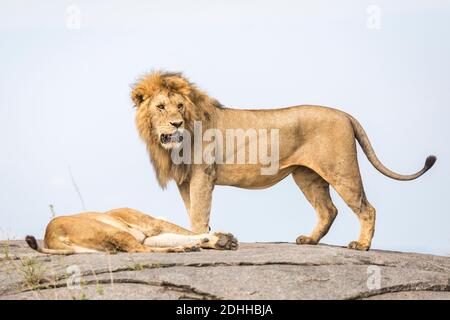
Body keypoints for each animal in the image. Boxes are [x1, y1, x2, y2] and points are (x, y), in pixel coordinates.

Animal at [131, 71, 436, 251]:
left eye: (180, 106)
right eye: (160, 107)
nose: (176, 123)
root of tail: (345, 114)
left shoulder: (202, 176)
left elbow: (198, 213)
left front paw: (204, 240)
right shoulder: (185, 181)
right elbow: (192, 212)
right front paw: (204, 237)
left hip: (341, 169)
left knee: (366, 208)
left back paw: (361, 245)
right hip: (307, 176)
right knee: (328, 210)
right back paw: (309, 240)